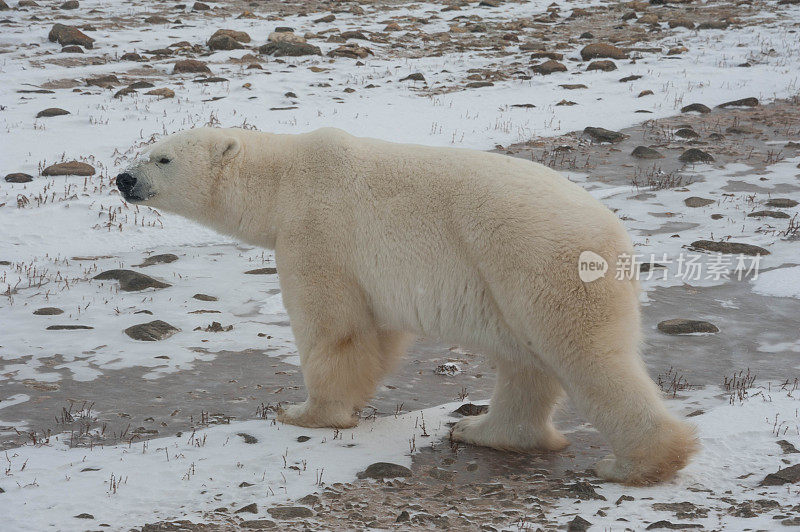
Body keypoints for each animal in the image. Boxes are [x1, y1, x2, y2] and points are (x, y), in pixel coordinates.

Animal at [115, 127, 696, 484]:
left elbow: (334, 328)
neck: (284, 179)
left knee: (584, 354)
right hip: (504, 282)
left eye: (162, 157)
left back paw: (640, 464)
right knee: (524, 362)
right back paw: (487, 431)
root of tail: (615, 234)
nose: (123, 178)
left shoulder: (318, 232)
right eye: (146, 150)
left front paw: (306, 413)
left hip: (535, 262)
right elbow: (378, 332)